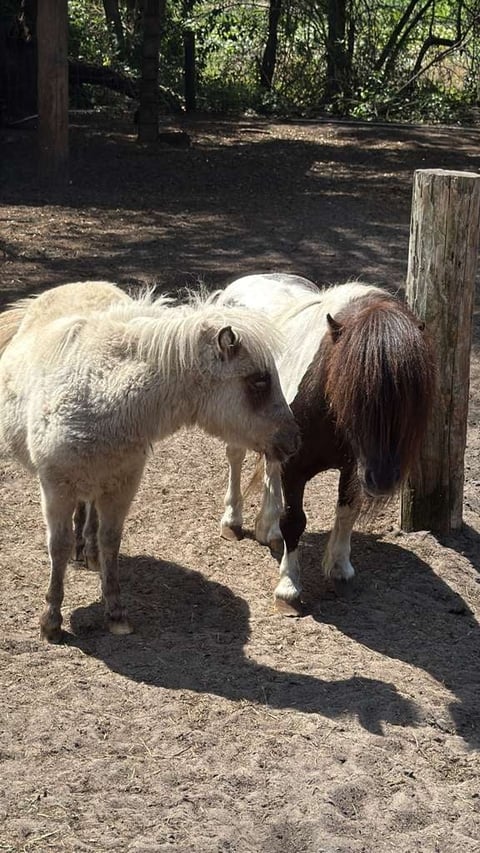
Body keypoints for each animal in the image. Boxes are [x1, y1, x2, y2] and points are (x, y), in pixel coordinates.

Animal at [0, 280, 300, 641]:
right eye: (259, 381)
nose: (294, 438)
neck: (99, 391)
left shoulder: (122, 486)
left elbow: (110, 541)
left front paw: (115, 612)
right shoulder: (56, 488)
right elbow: (57, 547)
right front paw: (51, 621)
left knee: (90, 514)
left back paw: (89, 553)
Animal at [215, 273, 436, 614]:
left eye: (410, 396)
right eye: (354, 393)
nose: (384, 480)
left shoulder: (353, 468)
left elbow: (347, 510)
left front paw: (340, 567)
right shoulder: (297, 468)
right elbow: (294, 521)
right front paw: (288, 587)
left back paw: (267, 529)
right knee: (235, 457)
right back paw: (233, 521)